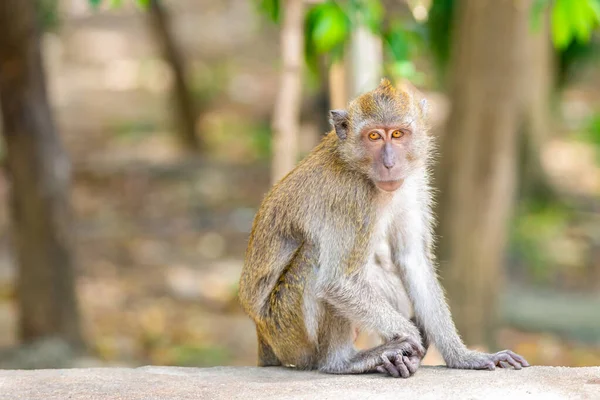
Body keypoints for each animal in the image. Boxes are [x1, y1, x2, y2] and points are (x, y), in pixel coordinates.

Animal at [237, 79, 528, 378]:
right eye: (374, 136)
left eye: (398, 134)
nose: (390, 163)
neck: (360, 168)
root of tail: (262, 336)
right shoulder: (351, 197)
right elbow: (338, 282)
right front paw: (412, 337)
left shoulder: (414, 180)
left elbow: (413, 260)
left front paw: (463, 356)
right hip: (287, 331)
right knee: (316, 258)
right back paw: (343, 361)